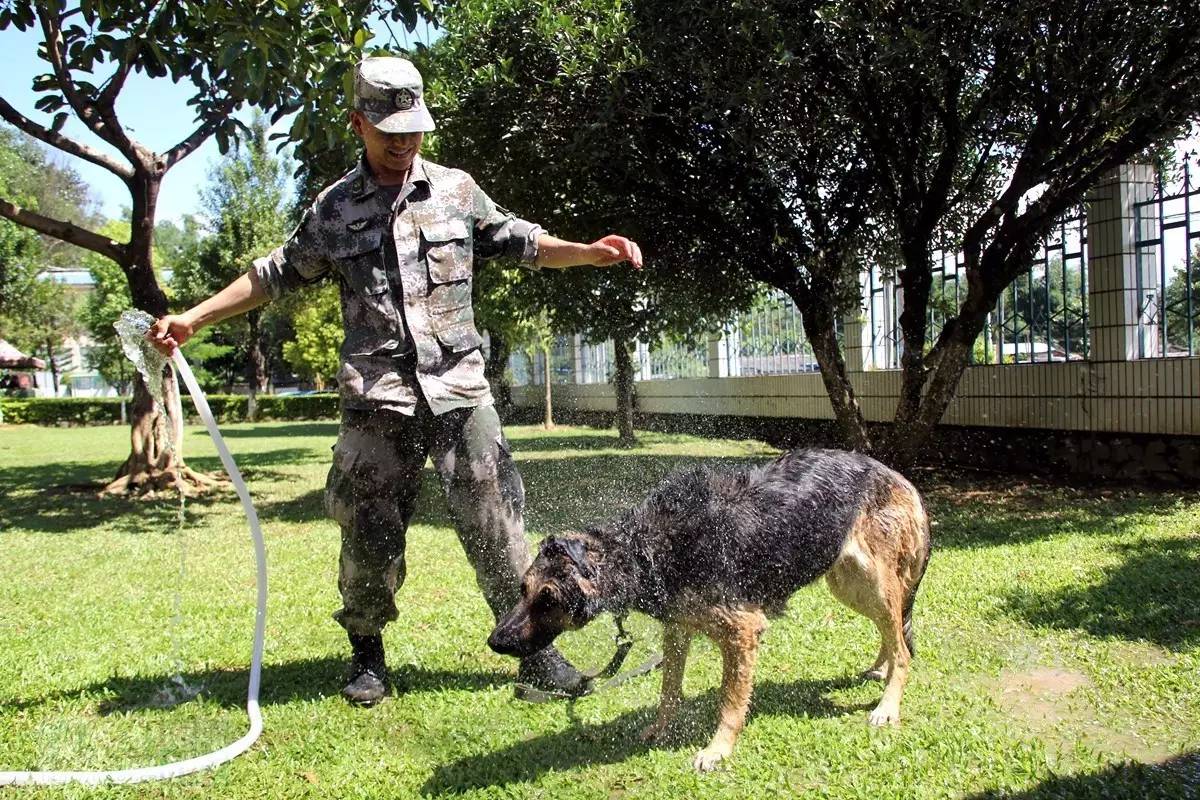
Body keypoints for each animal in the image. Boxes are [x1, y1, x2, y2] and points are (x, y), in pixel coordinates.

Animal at [487, 450, 926, 767]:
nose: (495, 641)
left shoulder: (743, 632)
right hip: (849, 586)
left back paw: (887, 706)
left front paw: (718, 750)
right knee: (890, 633)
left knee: (903, 646)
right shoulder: (677, 629)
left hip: (873, 583)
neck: (643, 551)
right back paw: (880, 670)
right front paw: (659, 731)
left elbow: (730, 702)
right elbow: (668, 691)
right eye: (522, 590)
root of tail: (900, 478)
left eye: (548, 600)